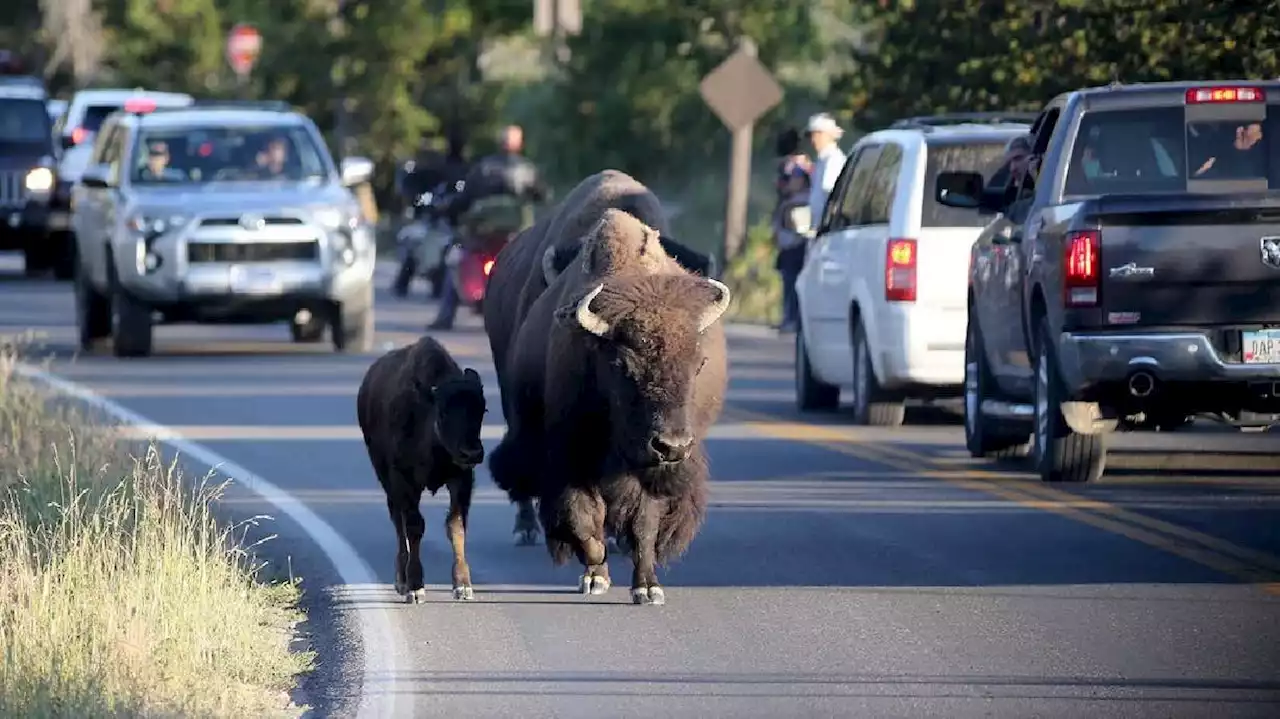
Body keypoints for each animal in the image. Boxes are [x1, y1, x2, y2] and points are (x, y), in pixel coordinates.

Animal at [355, 335, 483, 598]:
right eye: (443, 413)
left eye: (482, 410)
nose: (472, 452)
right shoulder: (403, 479)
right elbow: (414, 526)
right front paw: (415, 586)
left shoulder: (462, 479)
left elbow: (456, 525)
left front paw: (463, 585)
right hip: (386, 479)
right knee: (398, 523)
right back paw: (402, 581)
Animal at [486, 208, 732, 603]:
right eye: (622, 365)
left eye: (699, 364)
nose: (672, 445)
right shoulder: (571, 455)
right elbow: (584, 517)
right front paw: (595, 576)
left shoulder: (646, 469)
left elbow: (644, 522)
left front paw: (647, 587)